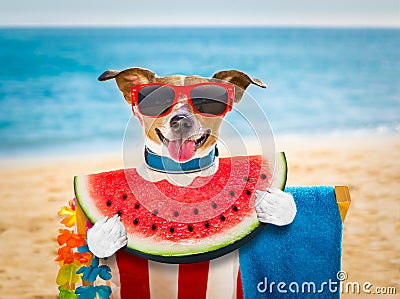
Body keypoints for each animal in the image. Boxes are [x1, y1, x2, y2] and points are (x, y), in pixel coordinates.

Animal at [86, 68, 296, 299]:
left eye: (205, 100)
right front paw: (105, 234)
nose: (181, 121)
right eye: (161, 100)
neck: (182, 174)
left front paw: (278, 205)